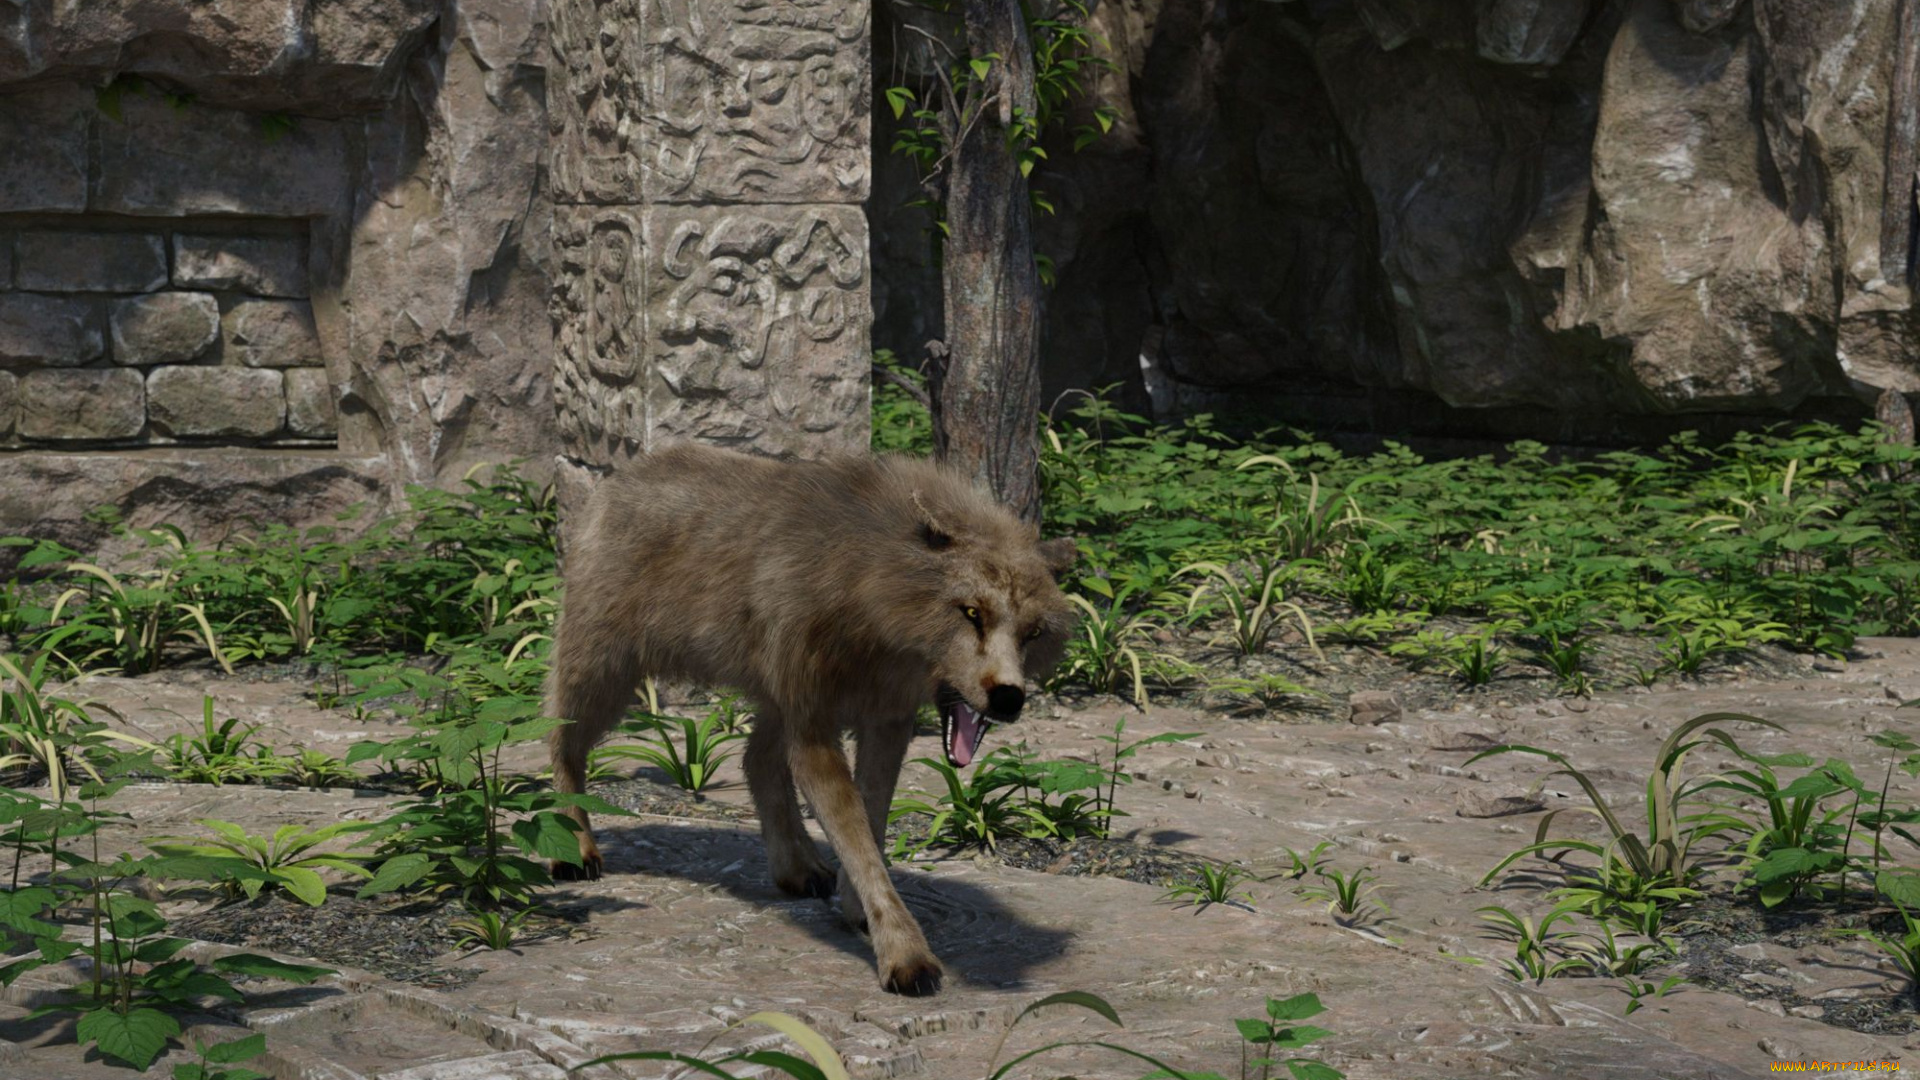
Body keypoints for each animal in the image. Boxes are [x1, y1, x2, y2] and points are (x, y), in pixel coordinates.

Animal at [545, 443, 1077, 995]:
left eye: (1033, 633)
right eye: (972, 613)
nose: (1009, 698)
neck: (866, 587)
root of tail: (618, 478)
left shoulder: (885, 721)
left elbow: (872, 820)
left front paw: (855, 905)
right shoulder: (815, 727)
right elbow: (856, 832)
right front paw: (905, 956)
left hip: (768, 701)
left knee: (754, 758)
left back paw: (797, 869)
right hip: (604, 672)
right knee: (559, 741)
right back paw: (573, 849)